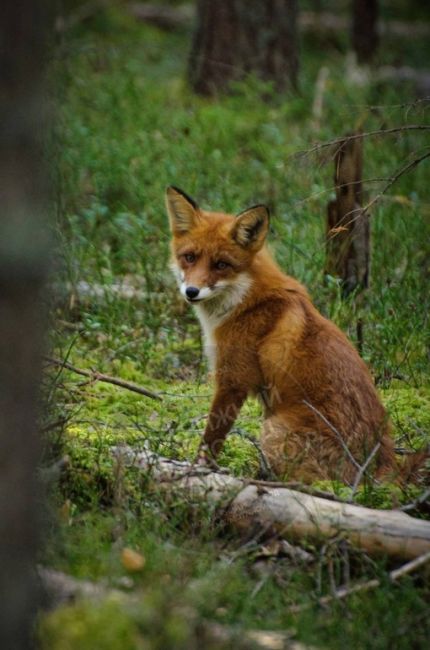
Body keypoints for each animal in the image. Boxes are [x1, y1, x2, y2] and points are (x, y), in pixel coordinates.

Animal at [167, 185, 420, 484]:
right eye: (190, 257)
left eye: (221, 264)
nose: (191, 292)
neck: (244, 300)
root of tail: (385, 467)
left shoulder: (233, 380)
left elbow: (211, 438)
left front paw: (199, 468)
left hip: (273, 429)